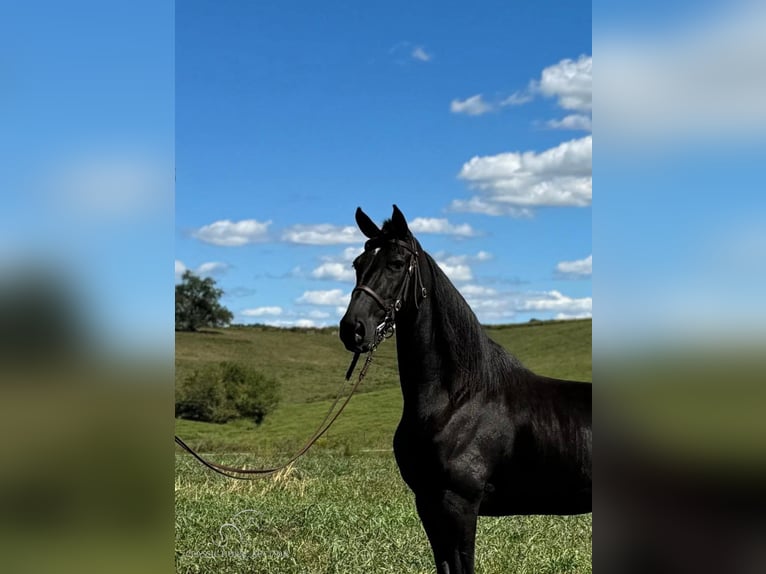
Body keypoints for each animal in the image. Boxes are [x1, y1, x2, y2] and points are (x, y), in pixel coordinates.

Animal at [342, 207, 592, 574]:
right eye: (358, 263)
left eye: (397, 263)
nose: (352, 329)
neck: (458, 399)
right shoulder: (428, 502)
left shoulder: (459, 504)